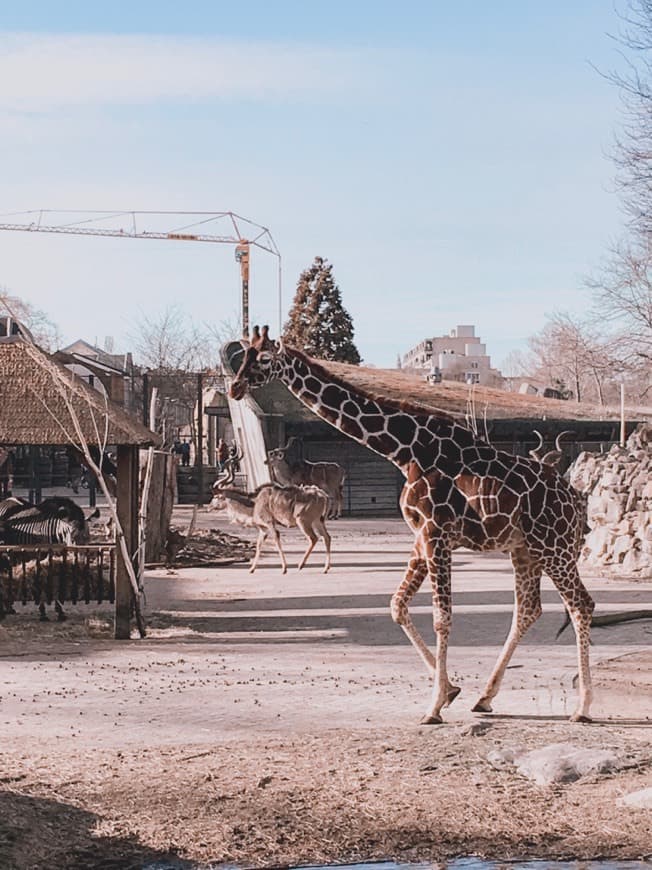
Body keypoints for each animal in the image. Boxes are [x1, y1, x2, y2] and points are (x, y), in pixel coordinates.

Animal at [230, 330, 596, 724]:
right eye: (244, 355)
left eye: (264, 359)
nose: (235, 387)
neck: (405, 451)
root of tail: (576, 501)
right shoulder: (421, 538)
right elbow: (397, 605)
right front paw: (450, 690)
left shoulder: (437, 535)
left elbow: (441, 617)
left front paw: (434, 705)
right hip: (524, 550)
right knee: (528, 610)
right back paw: (485, 697)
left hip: (554, 547)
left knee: (581, 604)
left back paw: (583, 707)